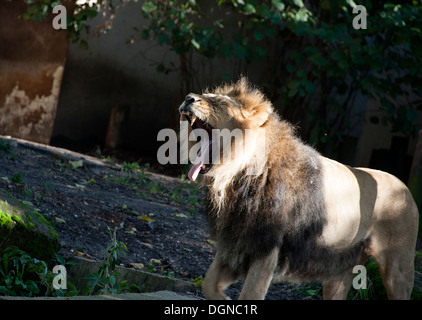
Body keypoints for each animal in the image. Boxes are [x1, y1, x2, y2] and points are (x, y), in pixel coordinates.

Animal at [177, 77, 418, 300]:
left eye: (218, 102)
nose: (188, 98)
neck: (237, 178)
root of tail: (406, 190)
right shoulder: (235, 244)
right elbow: (208, 284)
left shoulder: (266, 251)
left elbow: (249, 295)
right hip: (339, 271)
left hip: (398, 269)